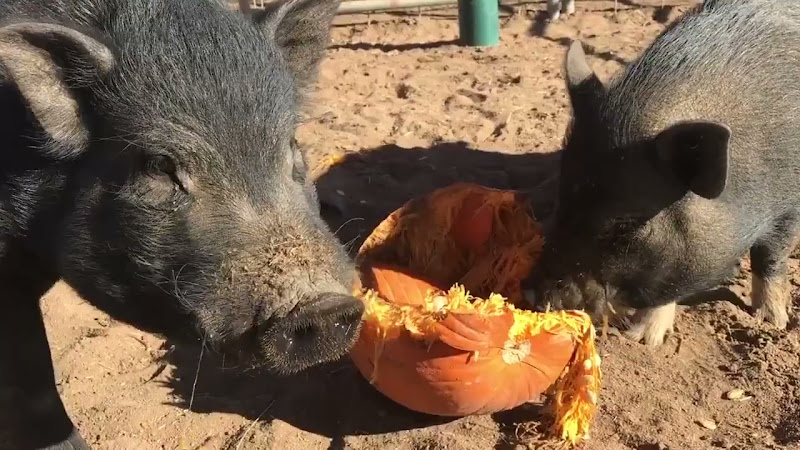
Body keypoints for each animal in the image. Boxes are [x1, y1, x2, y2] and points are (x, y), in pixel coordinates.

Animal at [534, 0, 800, 347]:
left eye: (624, 224)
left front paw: (772, 322)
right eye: (562, 201)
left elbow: (770, 258)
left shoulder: (789, 206)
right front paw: (643, 337)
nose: (541, 297)